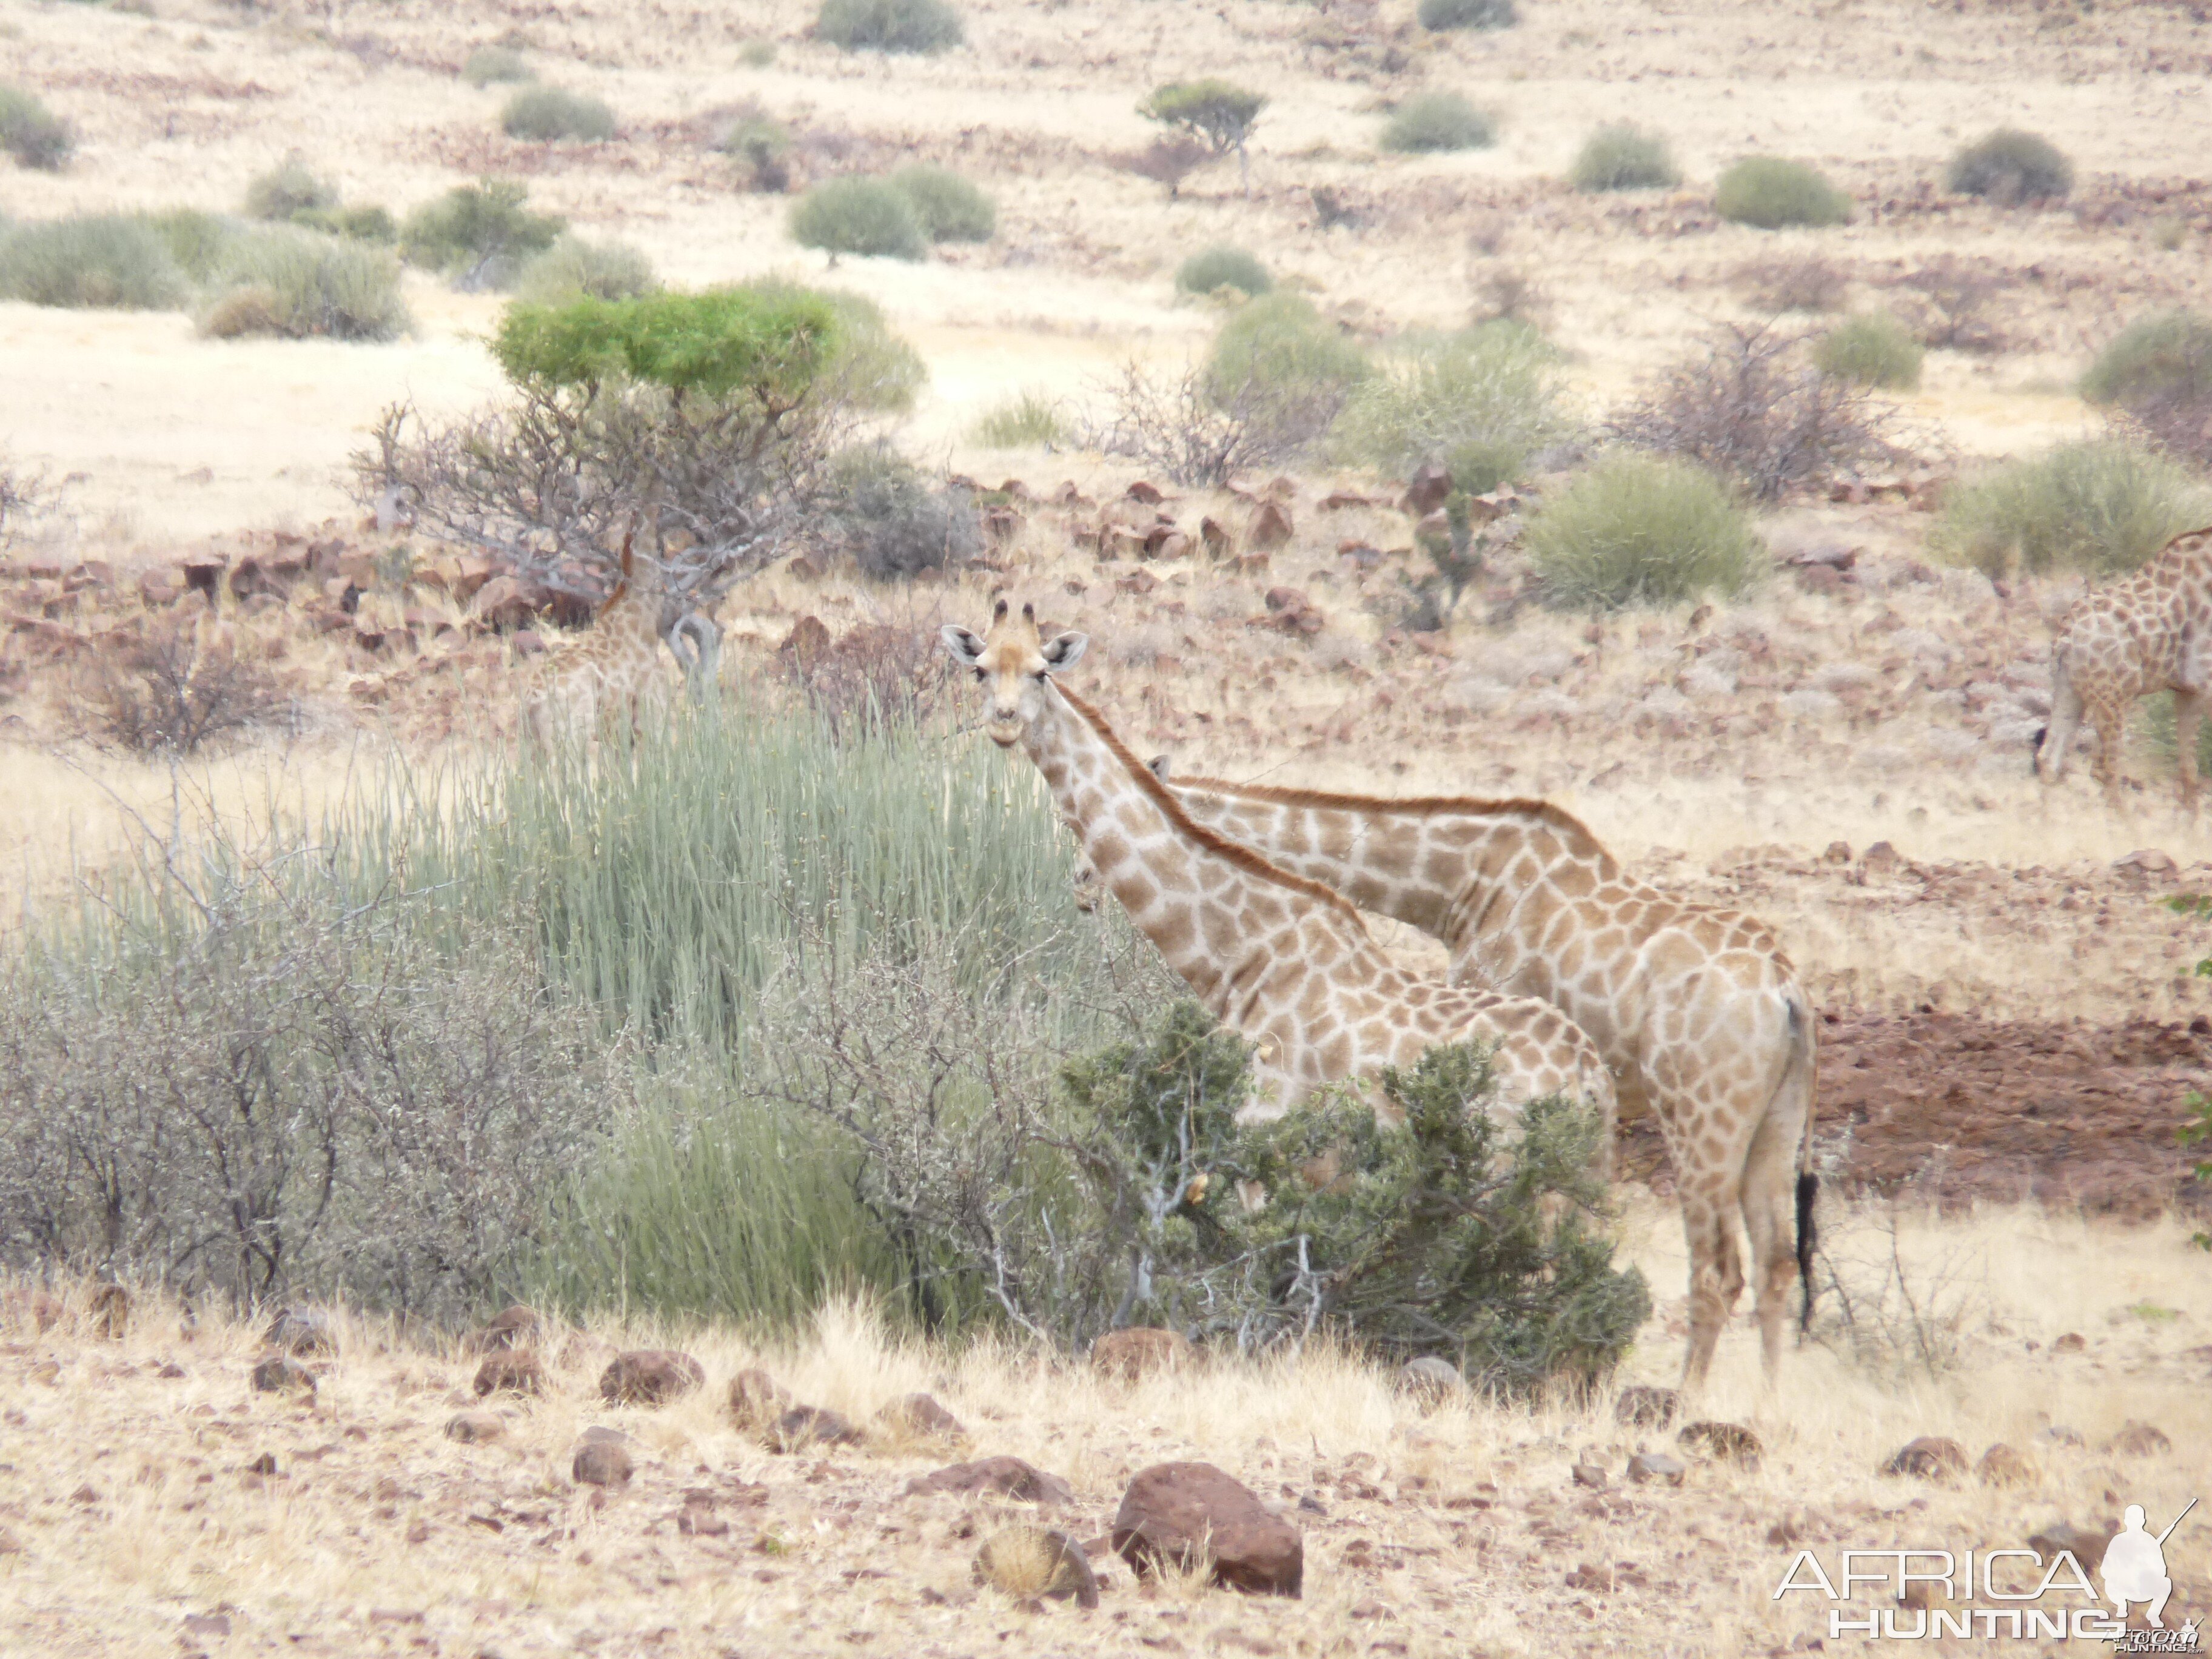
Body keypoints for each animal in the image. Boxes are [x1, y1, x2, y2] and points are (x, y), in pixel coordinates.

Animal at [933, 606, 1610, 1150]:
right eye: (980, 670)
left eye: (1042, 673)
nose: (1004, 723)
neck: (1239, 960)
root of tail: (1590, 1081)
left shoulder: (1263, 1125)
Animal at [1159, 774, 1814, 1398]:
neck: (1461, 885)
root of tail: (1786, 990)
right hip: (1776, 1122)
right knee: (1778, 1264)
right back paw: (1767, 1401)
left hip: (1700, 1114)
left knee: (1717, 1270)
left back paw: (1686, 1401)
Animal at [2035, 528, 2212, 809]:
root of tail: (2066, 637)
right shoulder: (2203, 688)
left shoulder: (2188, 691)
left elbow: (2188, 771)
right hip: (2116, 698)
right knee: (2106, 770)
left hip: (2070, 691)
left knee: (2051, 758)